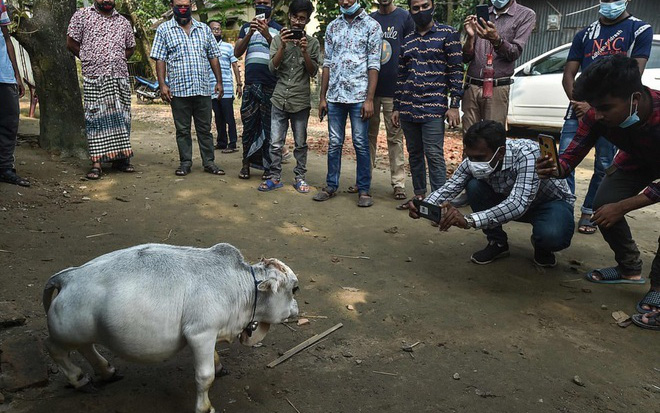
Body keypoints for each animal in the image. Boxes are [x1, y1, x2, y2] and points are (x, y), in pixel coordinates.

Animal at [42, 241, 300, 412]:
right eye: (295, 289)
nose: (297, 309)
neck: (241, 286)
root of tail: (67, 277)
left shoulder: (209, 333)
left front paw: (219, 365)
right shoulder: (200, 333)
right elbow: (204, 376)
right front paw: (205, 407)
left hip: (84, 332)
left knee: (86, 348)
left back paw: (107, 370)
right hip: (66, 334)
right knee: (54, 350)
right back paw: (79, 379)